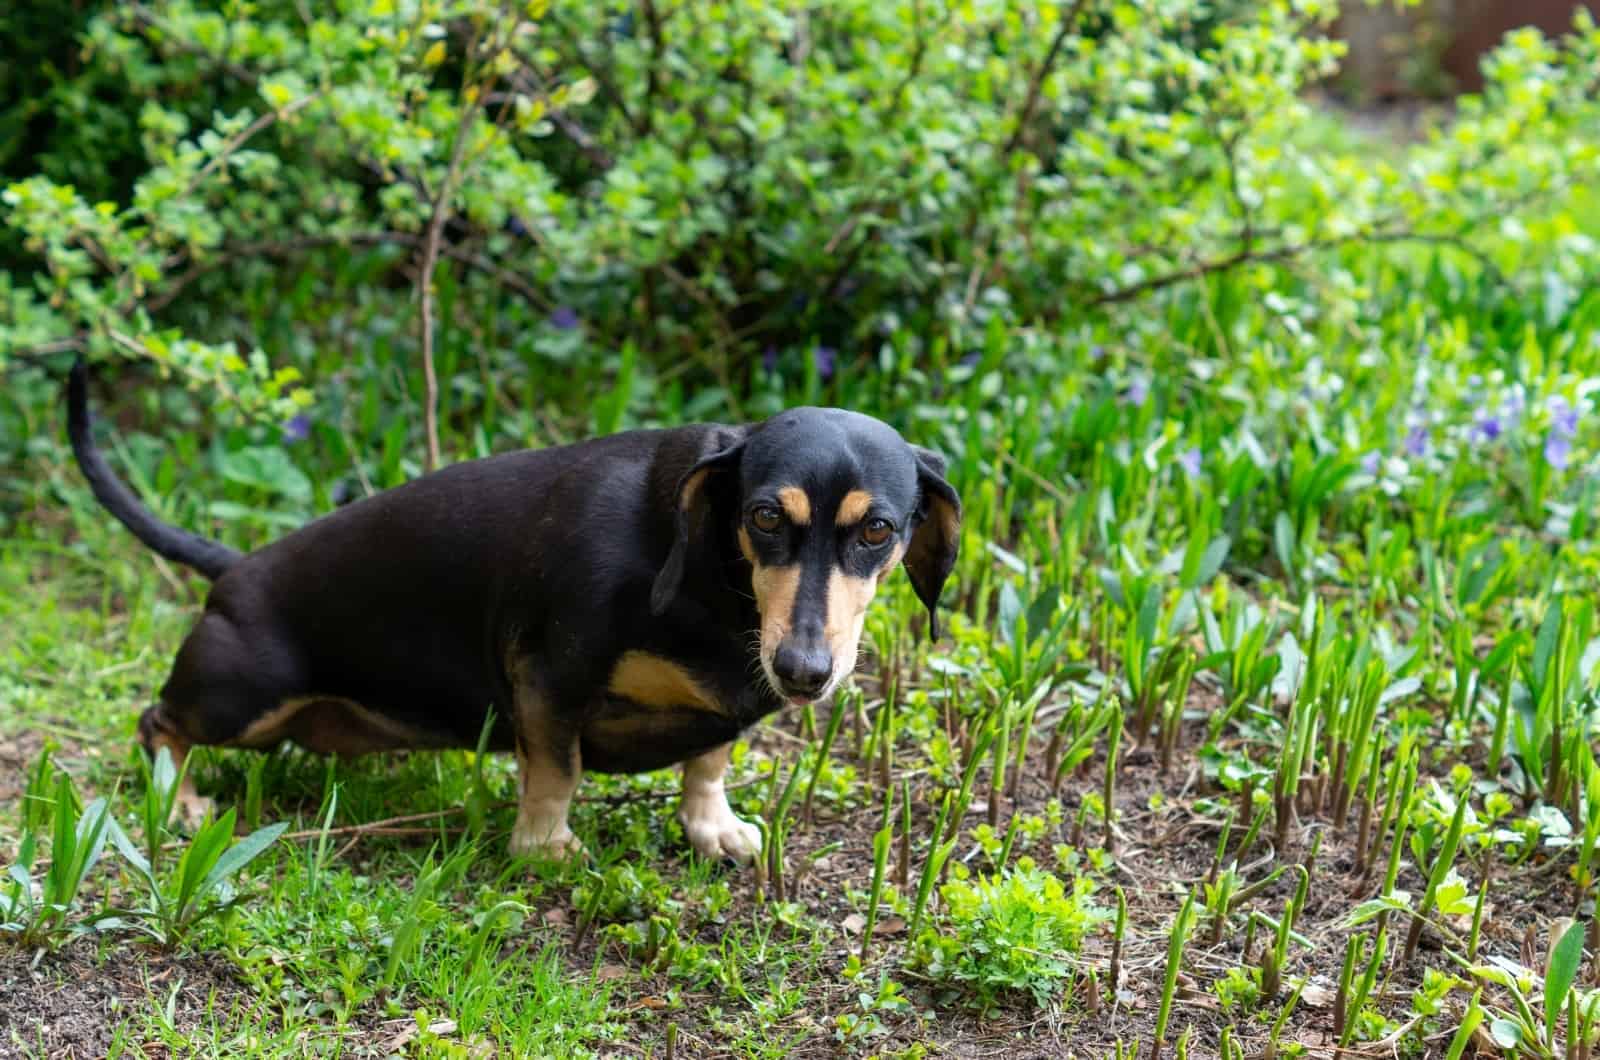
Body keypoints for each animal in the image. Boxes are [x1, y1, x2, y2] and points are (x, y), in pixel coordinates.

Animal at [68, 363, 953, 864]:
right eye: (765, 516)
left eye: (878, 530)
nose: (804, 673)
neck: (707, 578)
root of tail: (238, 566)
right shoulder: (548, 677)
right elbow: (555, 771)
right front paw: (543, 846)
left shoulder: (727, 709)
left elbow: (707, 765)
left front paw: (712, 827)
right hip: (242, 698)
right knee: (157, 723)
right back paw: (179, 799)